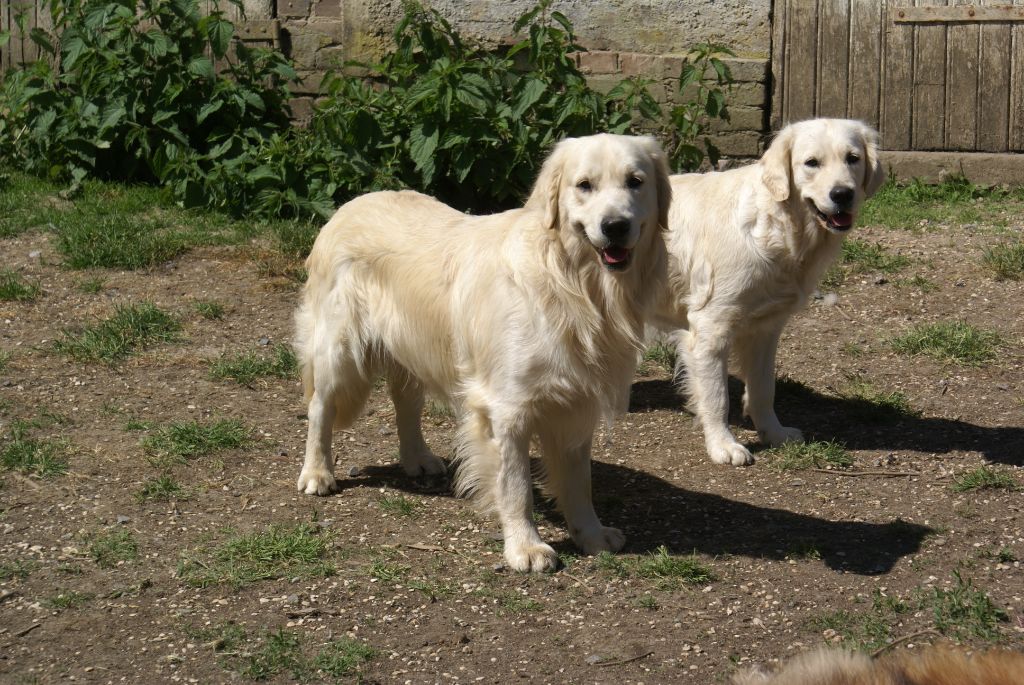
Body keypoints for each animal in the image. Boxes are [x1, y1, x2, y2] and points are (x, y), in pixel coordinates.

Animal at [294, 133, 671, 573]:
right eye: (584, 185)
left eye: (635, 182)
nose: (615, 226)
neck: (571, 284)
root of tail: (347, 207)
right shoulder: (506, 409)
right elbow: (516, 486)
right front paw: (526, 547)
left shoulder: (576, 403)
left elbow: (579, 482)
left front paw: (591, 534)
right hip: (340, 350)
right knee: (321, 406)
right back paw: (317, 472)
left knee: (406, 400)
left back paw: (417, 457)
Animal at [651, 120, 884, 466]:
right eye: (811, 163)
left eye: (852, 158)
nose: (842, 194)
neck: (777, 228)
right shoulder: (710, 329)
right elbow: (717, 396)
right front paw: (723, 445)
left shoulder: (766, 329)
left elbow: (763, 389)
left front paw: (773, 433)